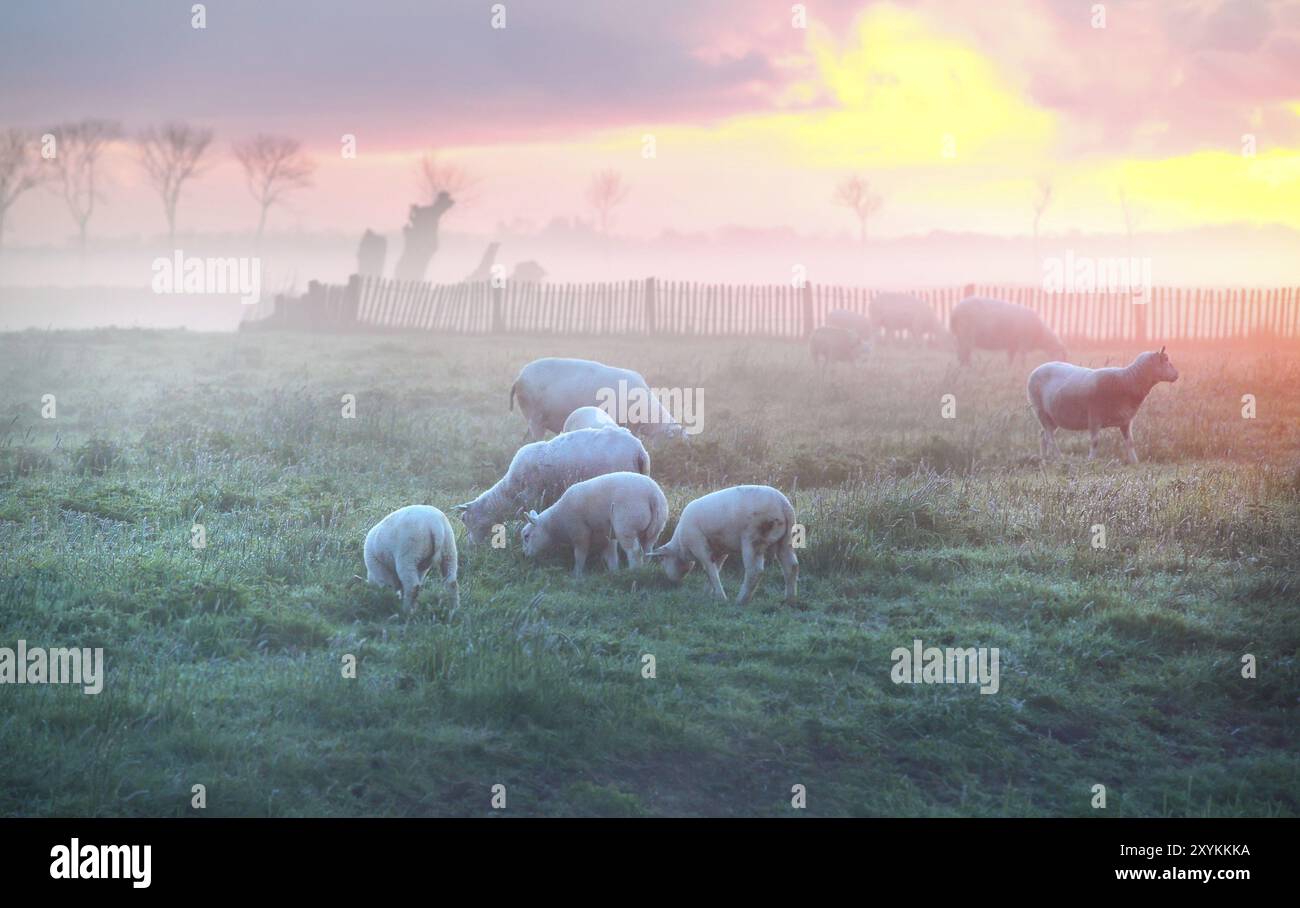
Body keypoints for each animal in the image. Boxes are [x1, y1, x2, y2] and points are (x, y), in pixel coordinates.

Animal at [517, 465, 665, 572]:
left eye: (526, 536)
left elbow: (580, 555)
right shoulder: (607, 535)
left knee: (634, 551)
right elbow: (611, 556)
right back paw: (643, 570)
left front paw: (577, 574)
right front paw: (614, 572)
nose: (524, 555)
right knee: (647, 550)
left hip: (627, 524)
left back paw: (633, 572)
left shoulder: (579, 532)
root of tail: (653, 496)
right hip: (655, 529)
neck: (555, 522)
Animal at [647, 483, 795, 603]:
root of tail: (783, 504)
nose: (673, 583)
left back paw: (741, 600)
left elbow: (710, 570)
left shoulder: (699, 544)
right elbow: (715, 570)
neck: (681, 545)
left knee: (755, 571)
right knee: (791, 566)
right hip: (786, 539)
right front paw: (708, 593)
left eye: (662, 559)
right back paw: (789, 600)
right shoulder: (720, 550)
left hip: (754, 538)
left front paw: (720, 597)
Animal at [1024, 346, 1180, 463]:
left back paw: (1044, 459)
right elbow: (1095, 441)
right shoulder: (1094, 417)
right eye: (1165, 360)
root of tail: (1037, 368)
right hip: (1041, 411)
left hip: (1052, 416)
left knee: (1043, 434)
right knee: (1049, 437)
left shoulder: (1126, 420)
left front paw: (1135, 462)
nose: (1177, 375)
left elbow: (1130, 442)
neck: (1128, 381)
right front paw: (1091, 460)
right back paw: (1059, 457)